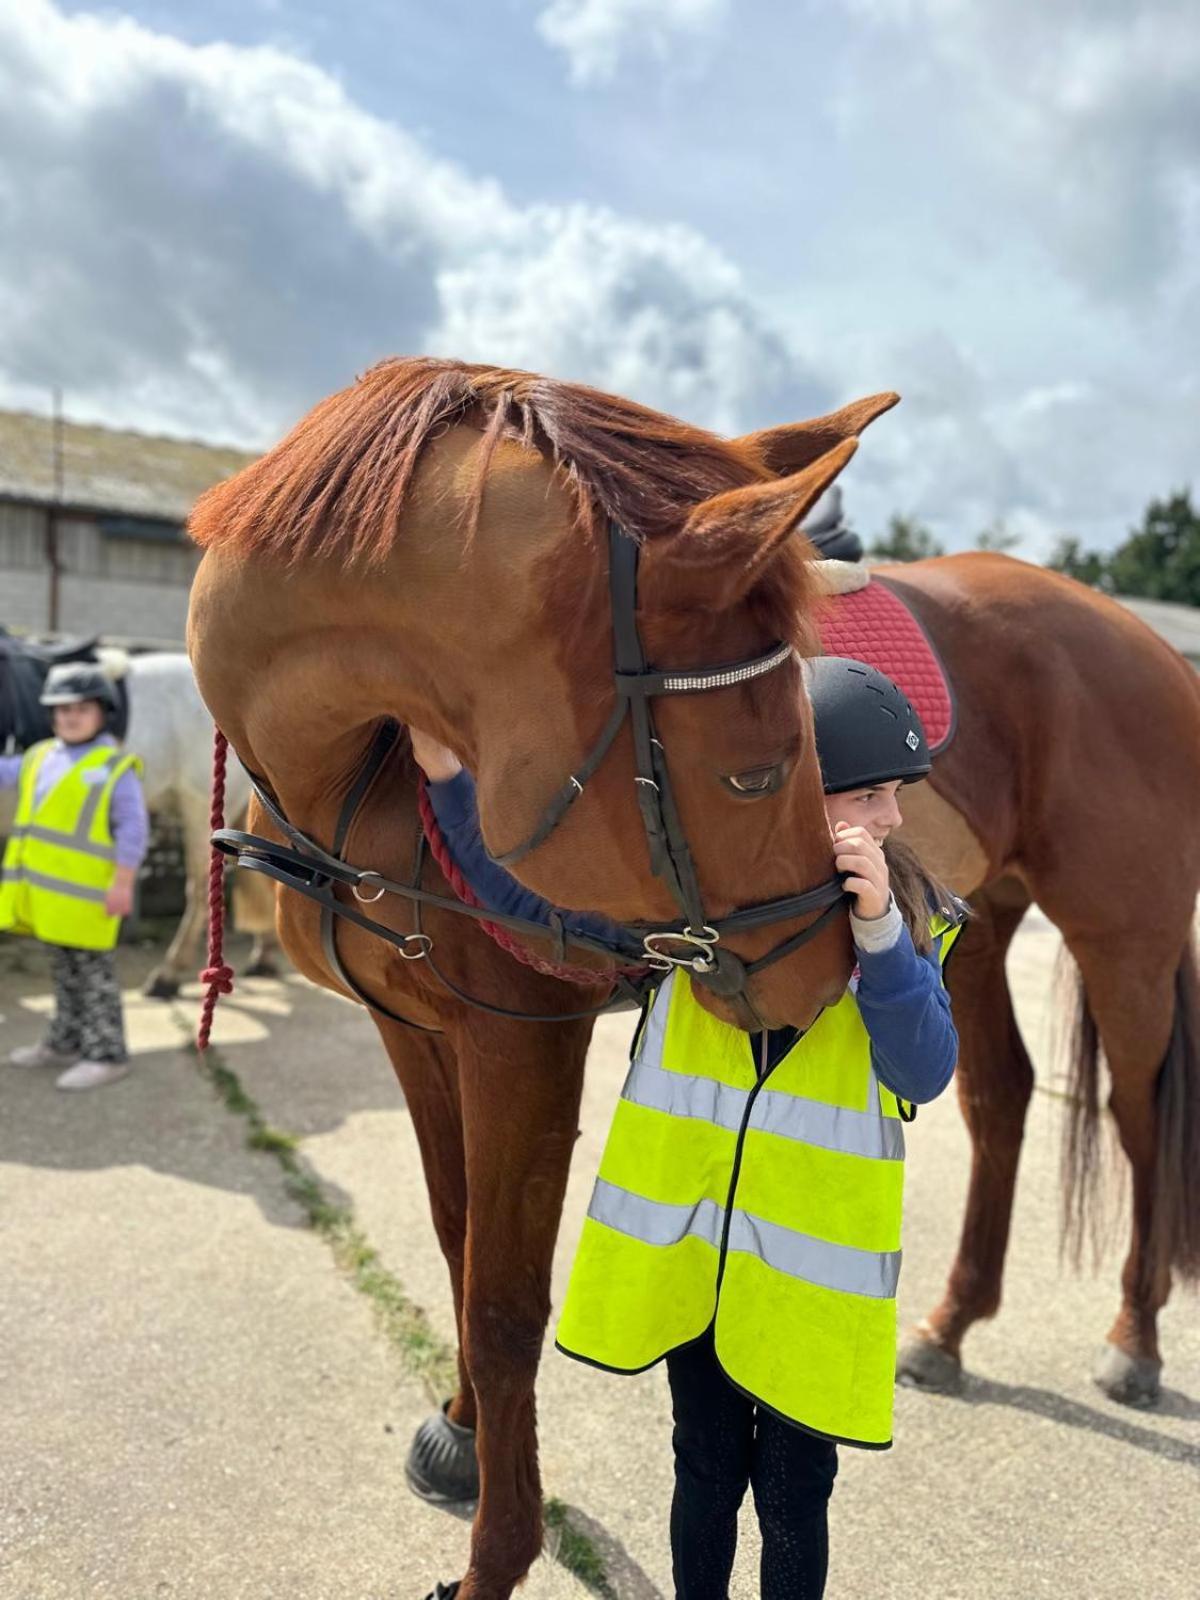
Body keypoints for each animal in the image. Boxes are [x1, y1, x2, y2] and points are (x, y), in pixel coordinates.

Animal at [183, 356, 1196, 1593]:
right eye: (759, 770)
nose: (822, 971)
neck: (364, 769)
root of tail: (1146, 643)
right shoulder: (416, 1030)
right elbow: (456, 1237)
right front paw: (462, 1436)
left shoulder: (522, 1033)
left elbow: (504, 1297)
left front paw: (496, 1551)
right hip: (990, 924)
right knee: (1003, 1095)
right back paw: (950, 1326)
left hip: (1124, 934)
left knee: (1140, 1118)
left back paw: (1134, 1339)